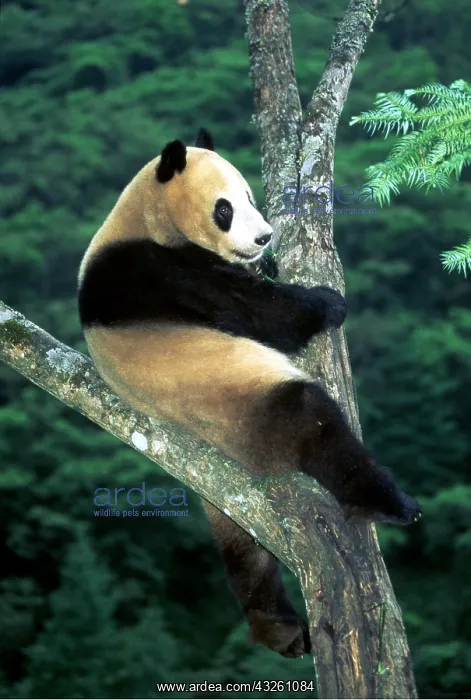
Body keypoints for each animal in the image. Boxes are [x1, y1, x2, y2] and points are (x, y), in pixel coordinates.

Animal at [78, 128, 421, 658]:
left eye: (251, 197)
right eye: (225, 208)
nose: (264, 238)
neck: (143, 216)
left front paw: (274, 264)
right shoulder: (157, 270)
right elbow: (256, 312)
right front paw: (327, 302)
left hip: (226, 491)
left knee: (244, 549)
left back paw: (278, 630)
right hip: (250, 407)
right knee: (314, 423)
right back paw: (386, 502)